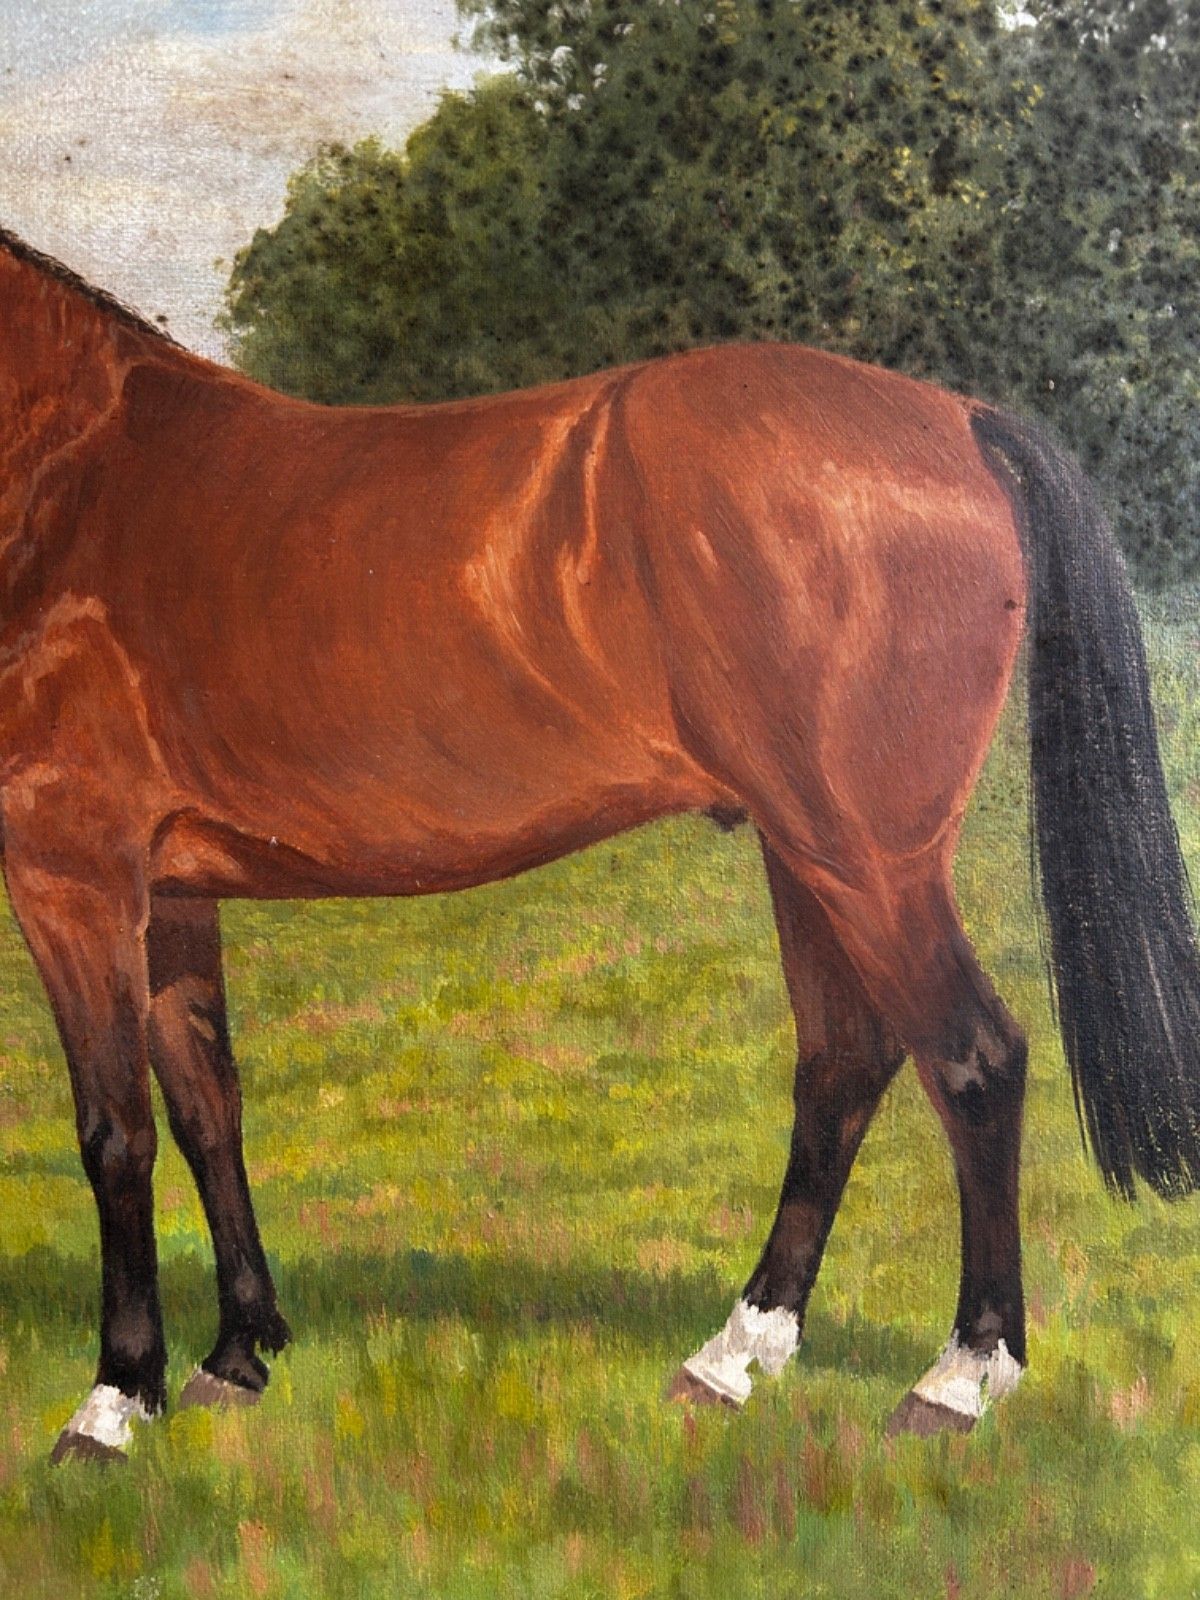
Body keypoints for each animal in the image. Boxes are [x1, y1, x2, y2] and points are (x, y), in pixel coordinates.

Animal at [2, 227, 1199, 1464]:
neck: (76, 467)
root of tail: (957, 416)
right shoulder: (171, 887)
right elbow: (206, 1106)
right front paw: (238, 1354)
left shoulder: (72, 877)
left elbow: (115, 1134)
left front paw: (112, 1399)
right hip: (807, 855)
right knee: (844, 1061)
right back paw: (737, 1353)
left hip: (869, 859)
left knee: (973, 1060)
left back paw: (959, 1374)